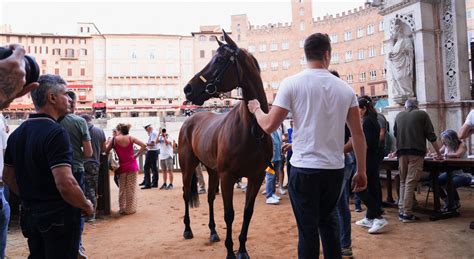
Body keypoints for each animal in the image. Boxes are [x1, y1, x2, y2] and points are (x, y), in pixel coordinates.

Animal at [178, 31, 272, 259]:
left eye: (219, 60)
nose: (188, 89)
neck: (252, 129)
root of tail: (190, 119)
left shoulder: (256, 177)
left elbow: (247, 212)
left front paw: (242, 250)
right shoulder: (228, 176)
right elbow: (229, 214)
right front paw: (231, 252)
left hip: (212, 171)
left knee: (211, 198)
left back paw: (212, 232)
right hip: (188, 166)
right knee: (186, 194)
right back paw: (187, 229)